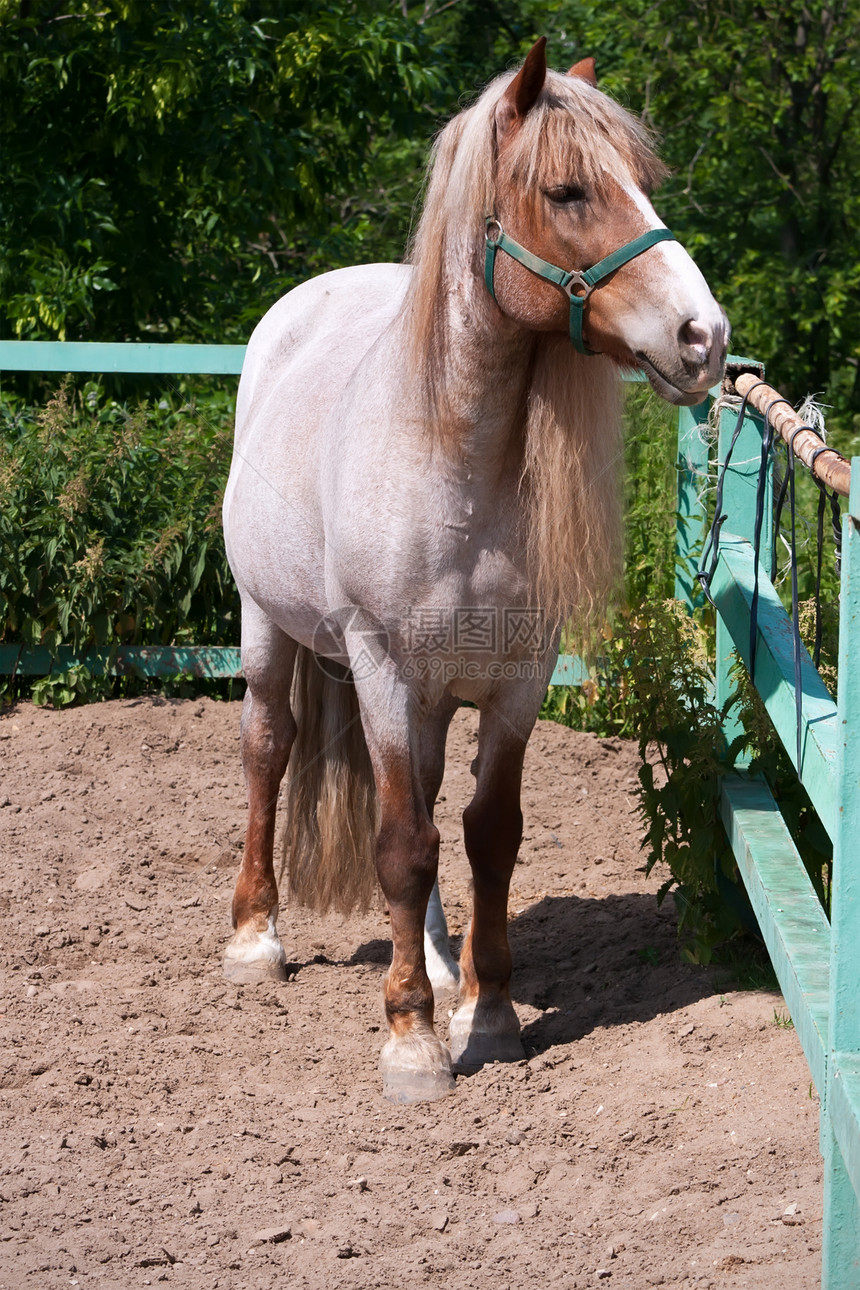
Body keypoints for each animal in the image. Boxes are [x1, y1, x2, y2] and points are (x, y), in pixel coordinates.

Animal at [221, 42, 727, 1109]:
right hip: (267, 626)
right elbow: (400, 845)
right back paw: (255, 939)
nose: (704, 337)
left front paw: (485, 1014)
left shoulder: (516, 677)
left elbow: (485, 833)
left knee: (417, 797)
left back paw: (441, 963)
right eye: (569, 190)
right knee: (268, 749)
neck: (453, 454)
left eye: (642, 180)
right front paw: (412, 1040)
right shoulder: (380, 667)